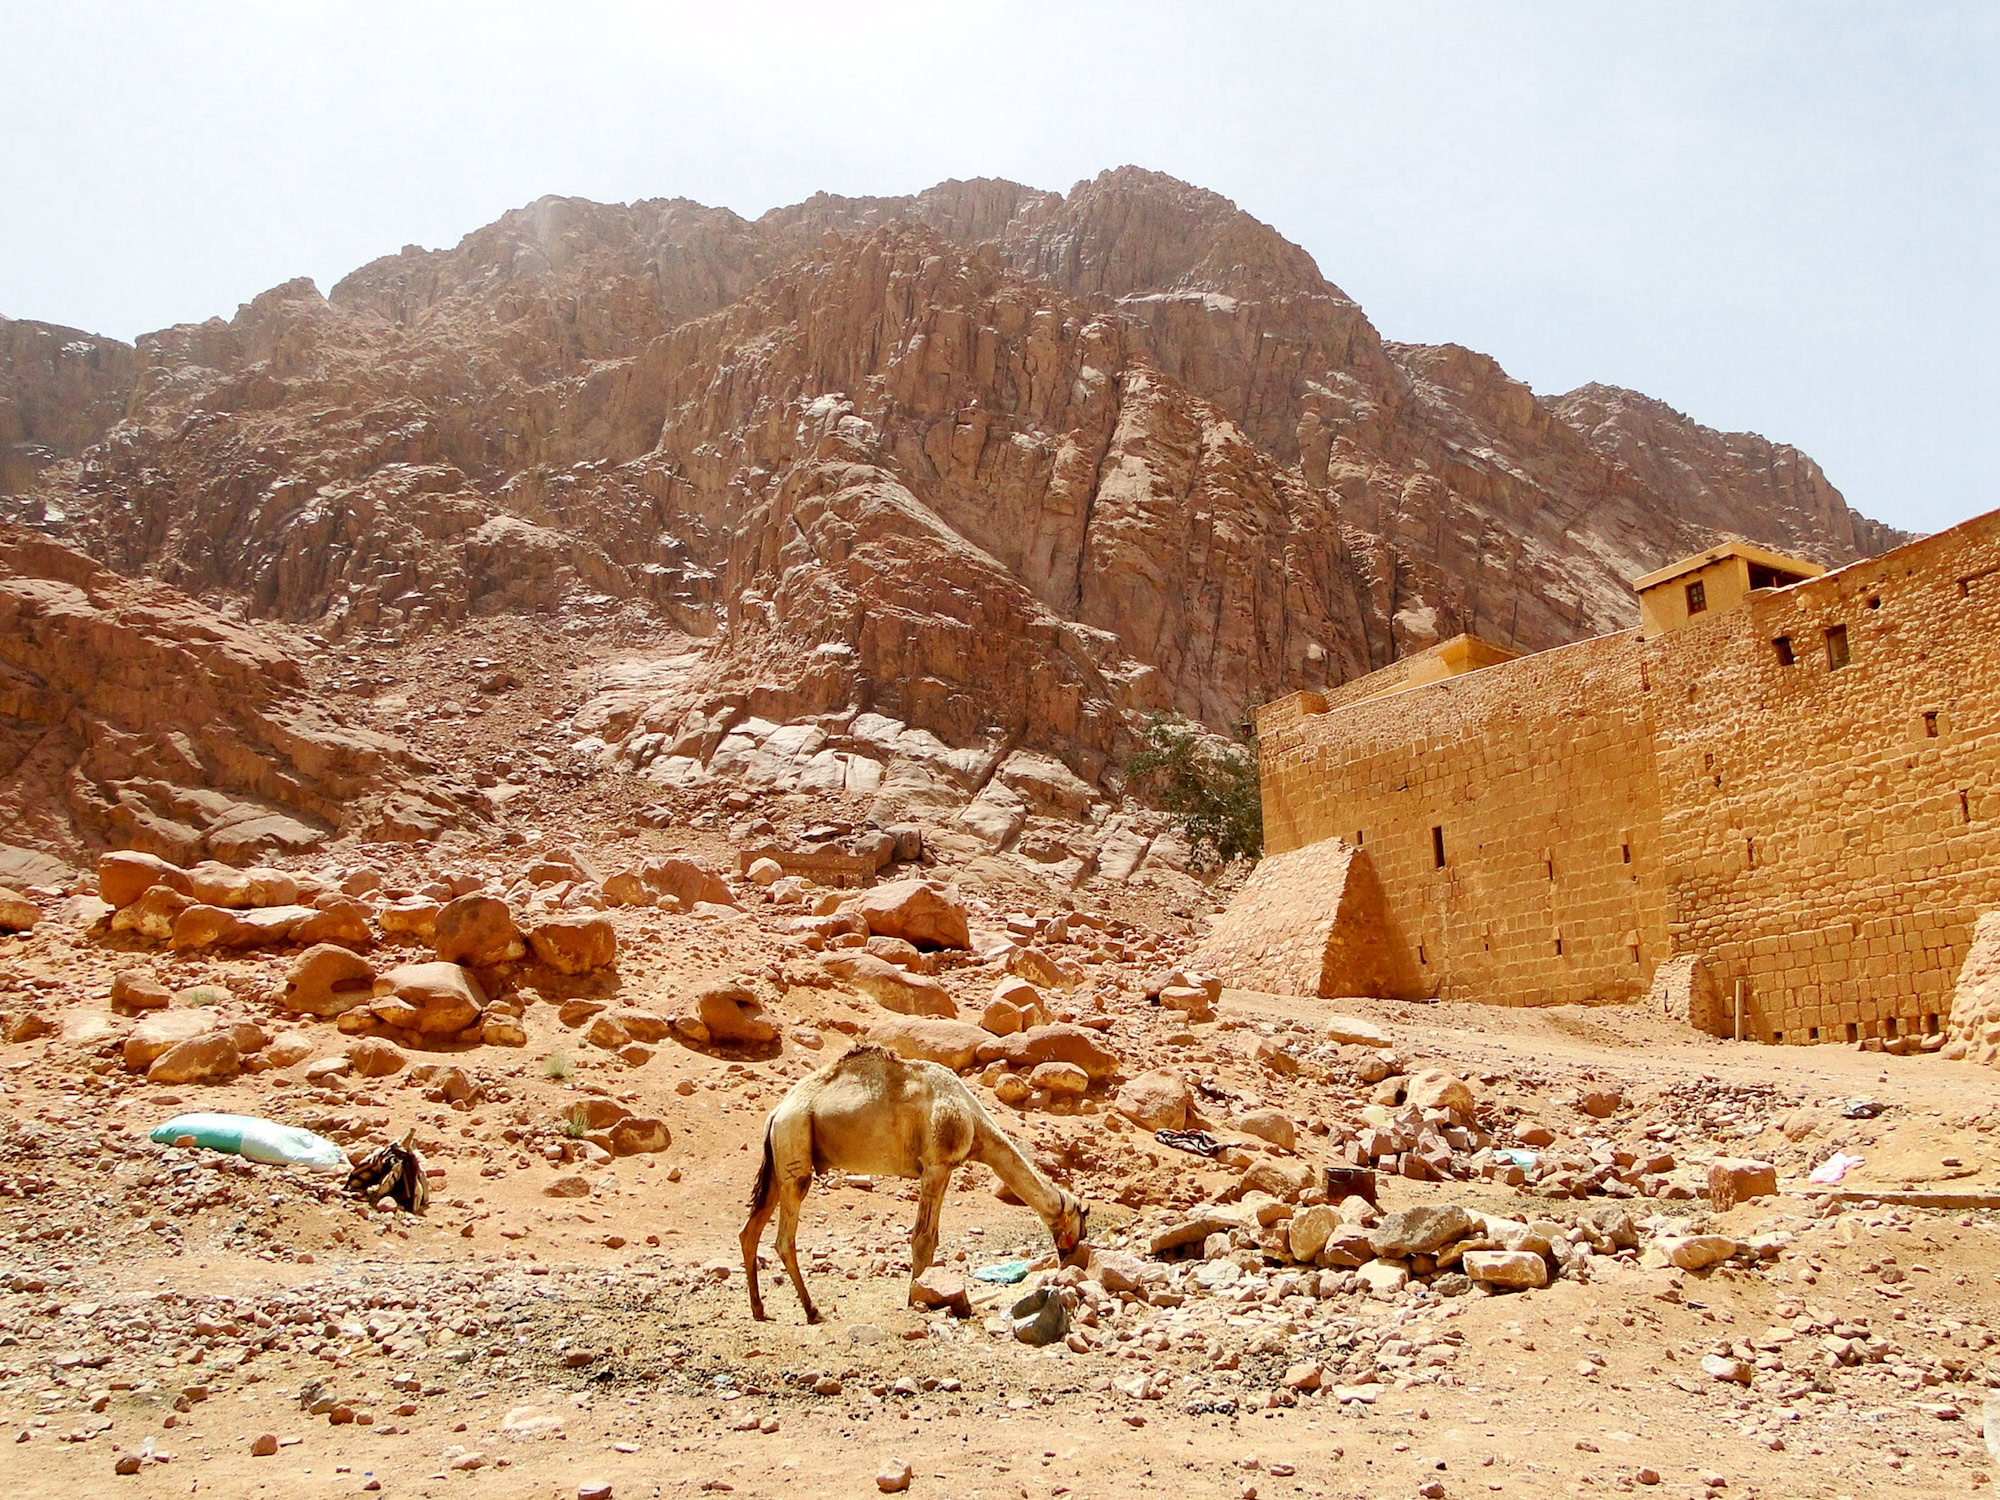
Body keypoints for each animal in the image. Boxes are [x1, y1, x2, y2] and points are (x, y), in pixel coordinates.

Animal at [742, 1045, 1088, 1323]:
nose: (1070, 1258)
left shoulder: (942, 1168)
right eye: (1081, 1223)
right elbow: (923, 1238)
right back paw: (812, 1310)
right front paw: (916, 1300)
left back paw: (760, 1309)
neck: (973, 1121)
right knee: (784, 1238)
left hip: (778, 1162)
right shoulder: (936, 1165)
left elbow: (930, 1238)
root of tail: (776, 1112)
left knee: (750, 1232)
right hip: (795, 1144)